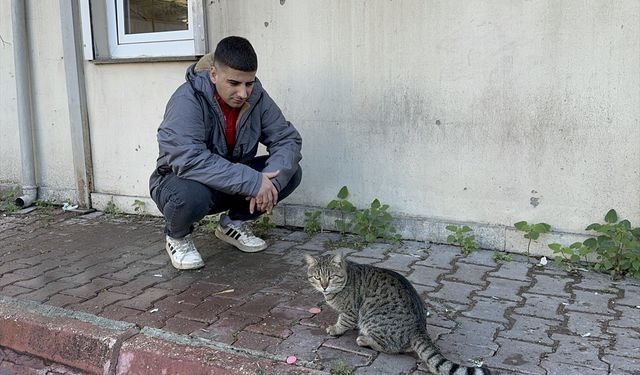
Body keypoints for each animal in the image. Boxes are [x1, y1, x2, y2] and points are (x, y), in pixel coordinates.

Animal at [304, 253, 490, 375]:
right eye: (317, 277)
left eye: (331, 277)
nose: (324, 286)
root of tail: (418, 328)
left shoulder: (350, 311)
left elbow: (343, 321)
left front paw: (335, 329)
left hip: (371, 317)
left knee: (389, 347)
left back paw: (364, 339)